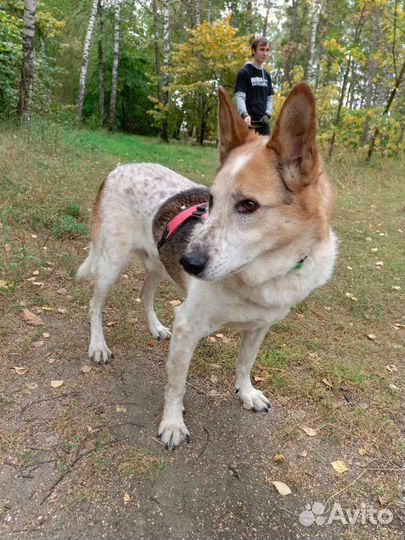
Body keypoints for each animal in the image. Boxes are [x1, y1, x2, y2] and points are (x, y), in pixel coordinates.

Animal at [77, 82, 336, 450]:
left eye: (248, 205)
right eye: (210, 200)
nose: (188, 261)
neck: (261, 275)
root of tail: (118, 168)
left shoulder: (260, 326)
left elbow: (244, 364)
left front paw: (246, 393)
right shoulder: (189, 327)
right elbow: (176, 385)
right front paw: (172, 424)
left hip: (158, 265)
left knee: (144, 295)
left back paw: (156, 327)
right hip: (111, 263)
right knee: (95, 305)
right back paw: (98, 346)